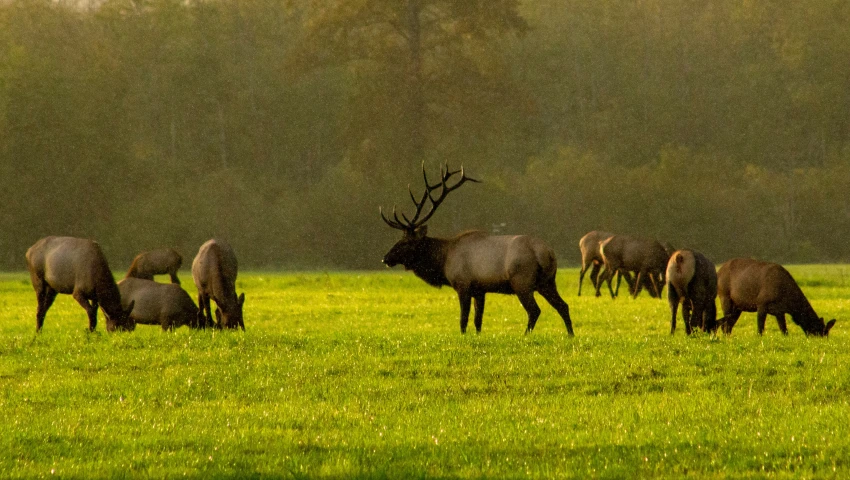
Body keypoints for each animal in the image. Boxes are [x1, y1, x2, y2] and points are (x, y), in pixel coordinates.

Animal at [380, 163, 572, 336]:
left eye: (405, 242)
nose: (386, 258)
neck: (444, 260)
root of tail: (547, 252)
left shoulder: (462, 284)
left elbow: (463, 319)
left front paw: (463, 337)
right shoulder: (480, 290)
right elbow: (478, 320)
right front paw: (478, 336)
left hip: (522, 281)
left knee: (534, 310)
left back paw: (525, 335)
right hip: (547, 281)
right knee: (563, 305)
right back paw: (570, 334)